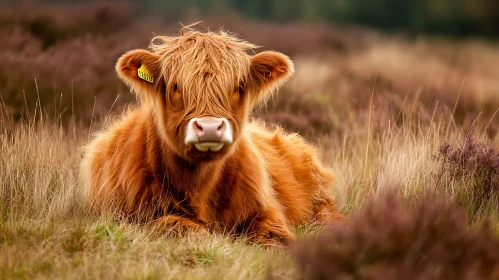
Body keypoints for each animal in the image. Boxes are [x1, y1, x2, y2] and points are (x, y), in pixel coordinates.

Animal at [80, 26, 346, 245]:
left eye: (238, 86)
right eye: (175, 86)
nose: (209, 127)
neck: (200, 186)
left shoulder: (267, 213)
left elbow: (275, 239)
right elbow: (180, 226)